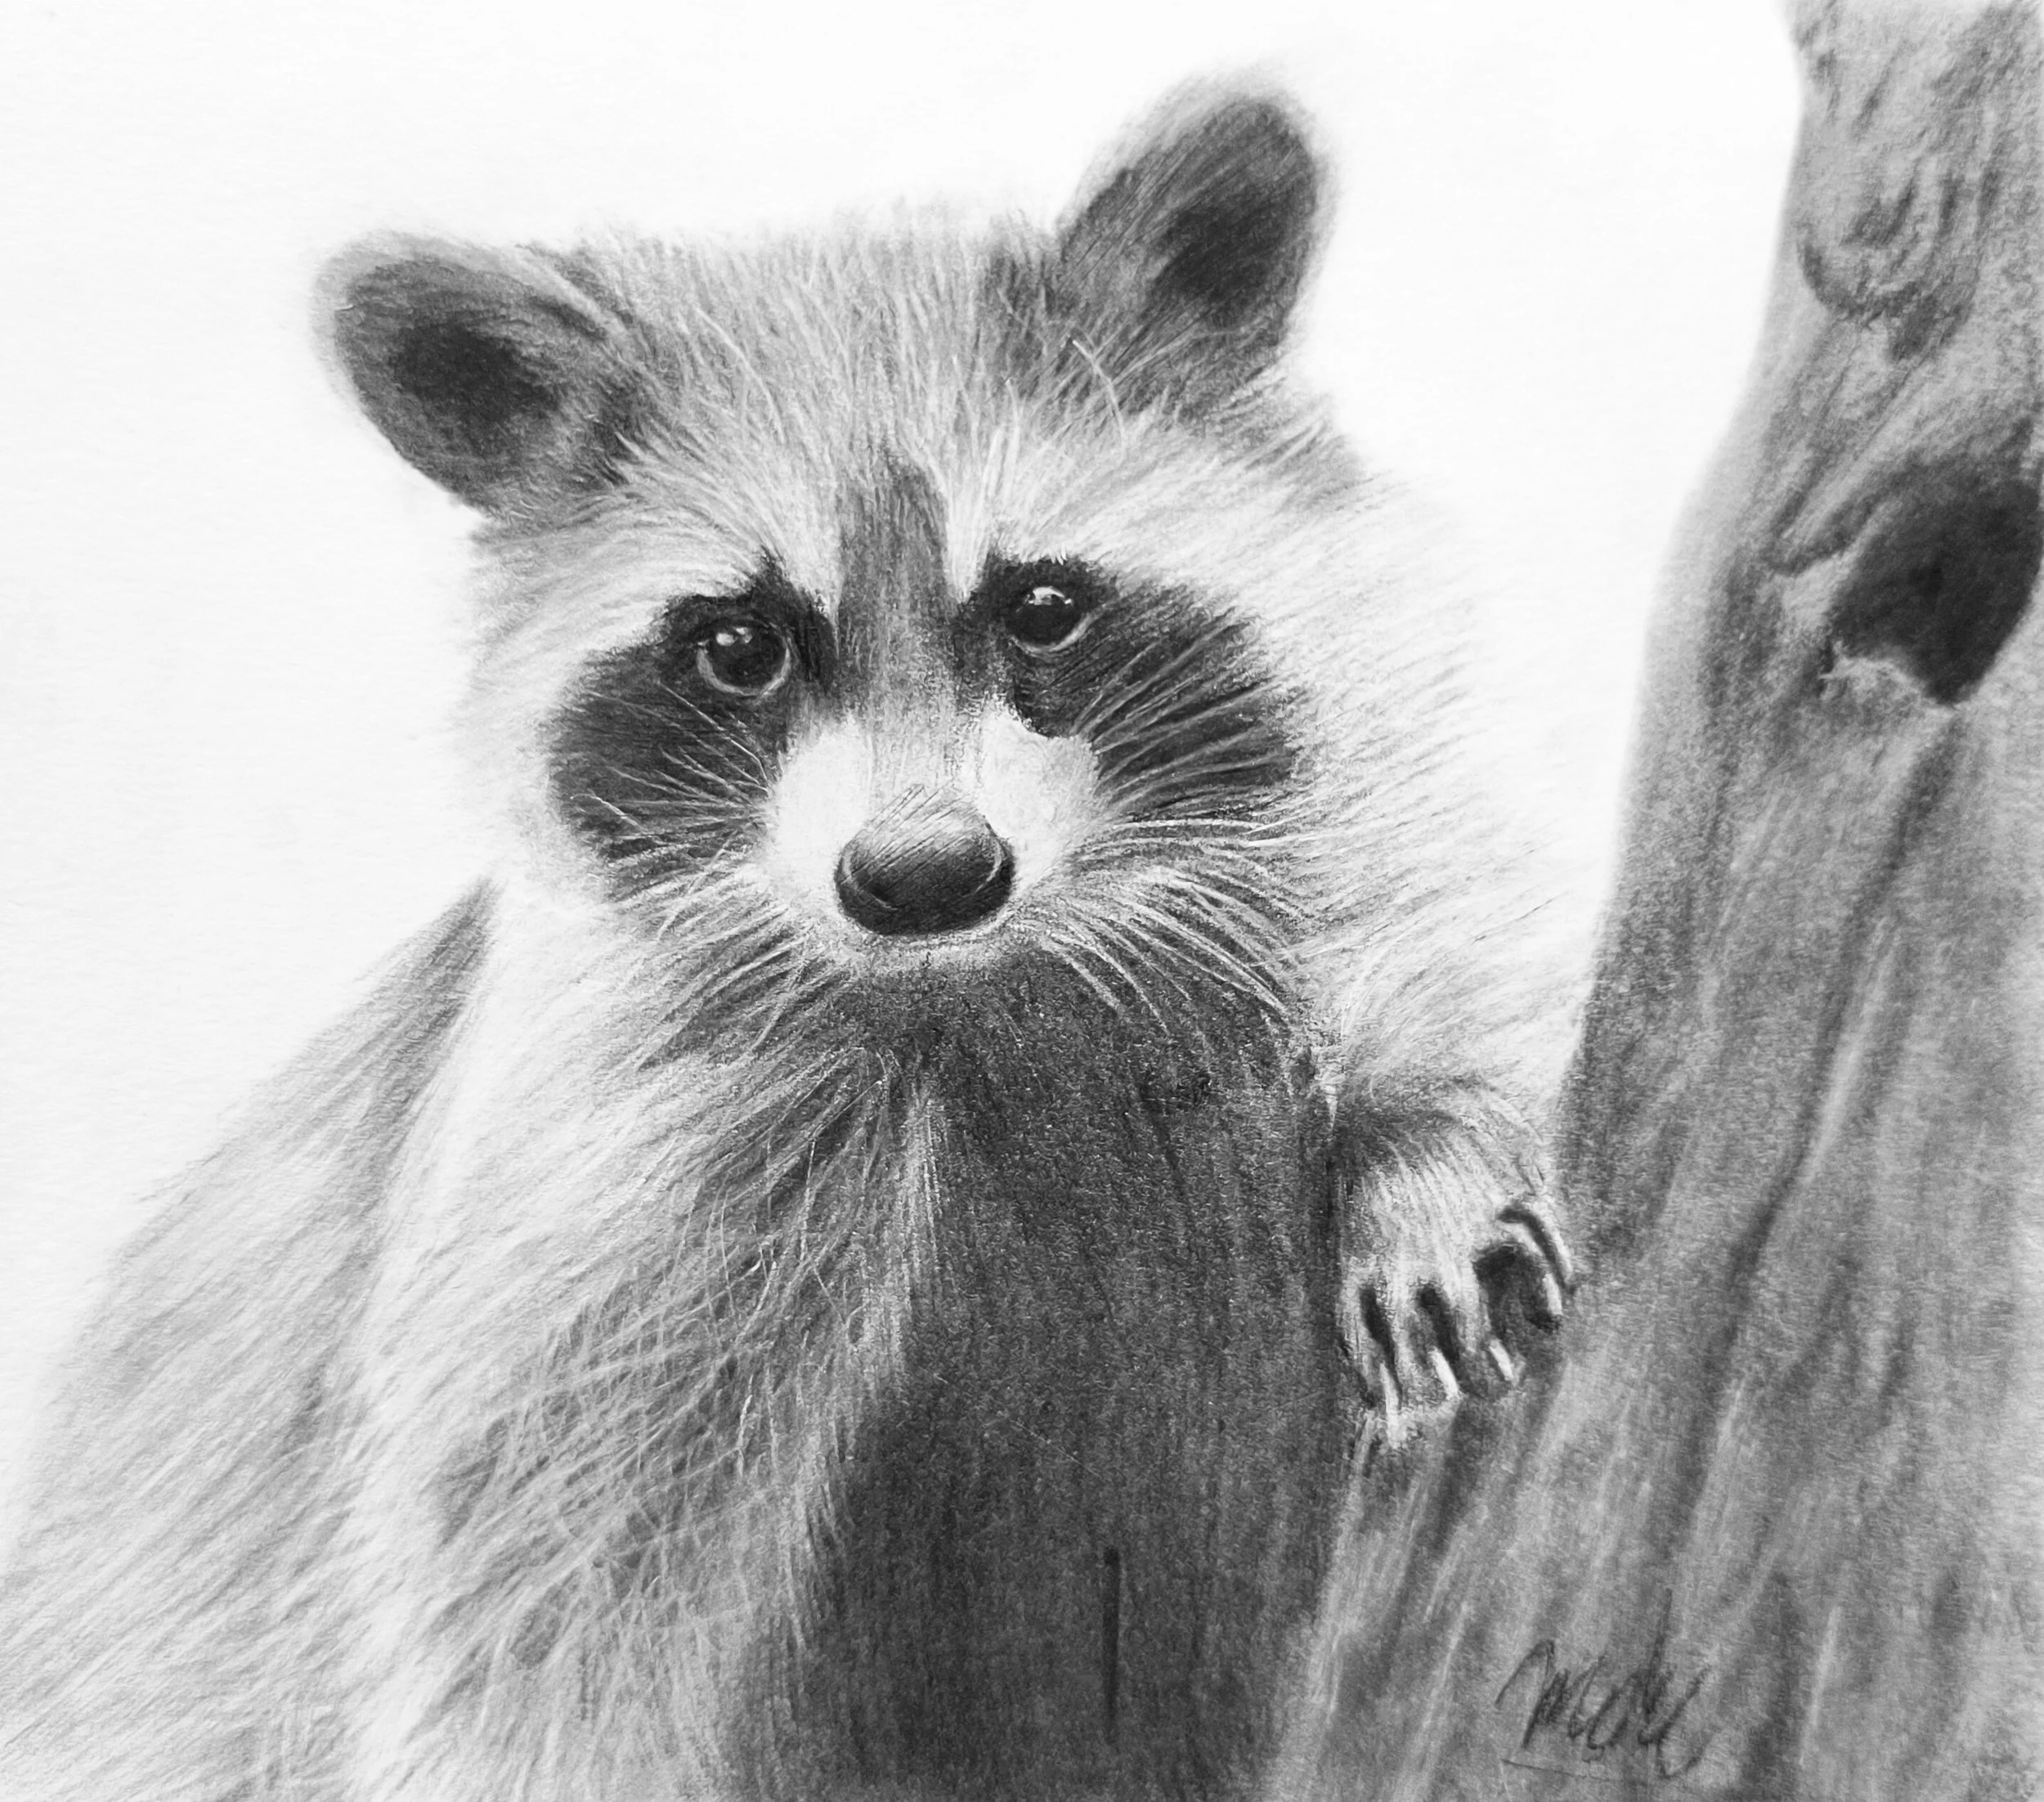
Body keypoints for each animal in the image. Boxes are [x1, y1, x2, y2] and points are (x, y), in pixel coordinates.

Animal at [0, 85, 1574, 1802]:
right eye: (739, 646)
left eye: (1042, 606)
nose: (926, 873)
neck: (984, 993)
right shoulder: (608, 1194)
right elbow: (523, 1628)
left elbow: (1437, 934)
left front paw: (1426, 1147)